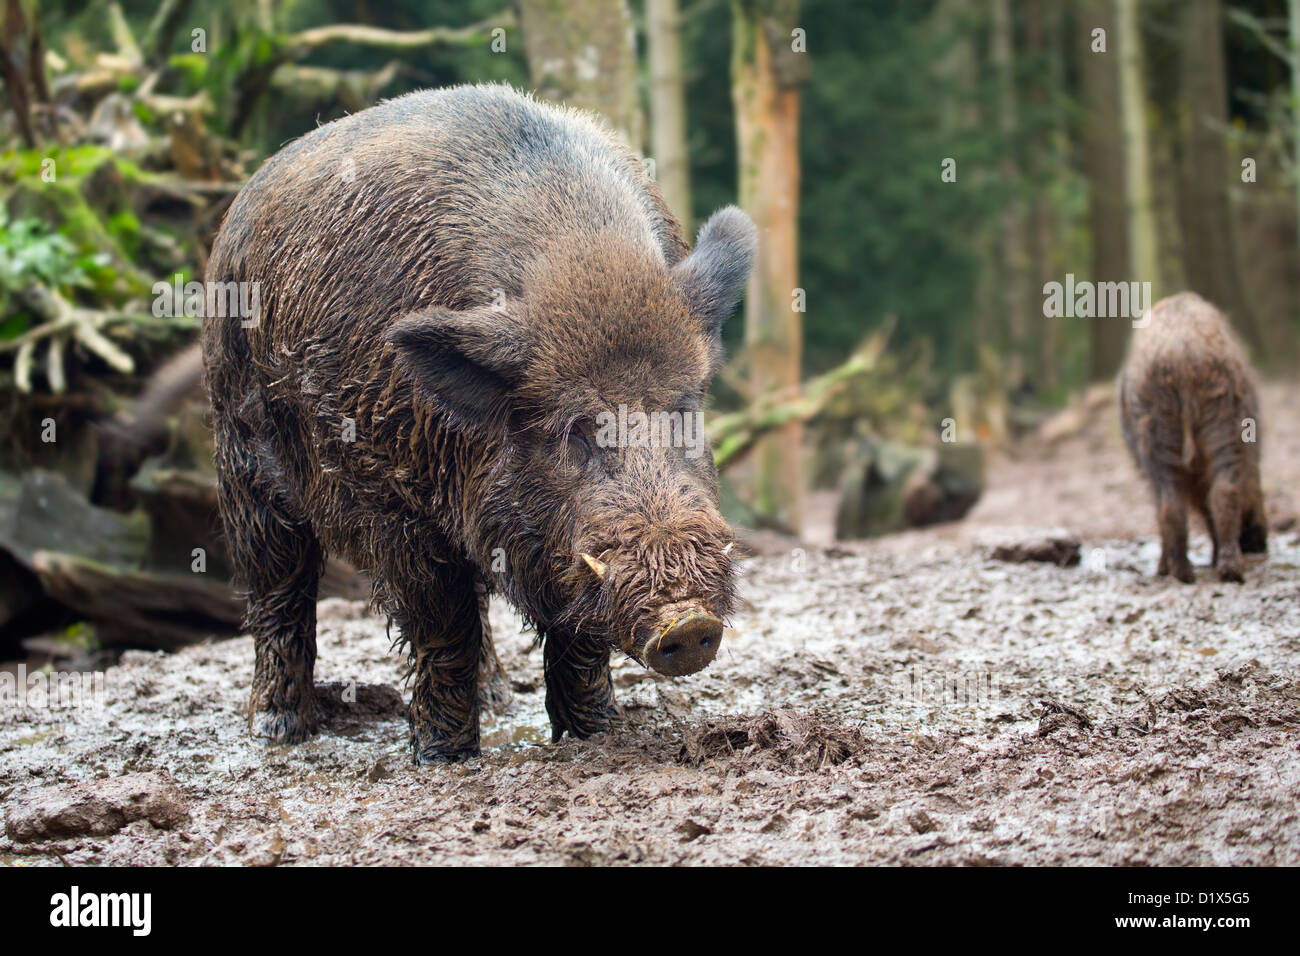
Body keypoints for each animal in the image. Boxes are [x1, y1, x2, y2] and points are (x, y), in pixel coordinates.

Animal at [200, 84, 755, 761]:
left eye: (683, 409)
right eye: (575, 427)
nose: (688, 620)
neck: (581, 263)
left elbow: (576, 640)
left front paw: (597, 735)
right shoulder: (393, 498)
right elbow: (444, 624)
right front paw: (443, 757)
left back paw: (497, 699)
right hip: (237, 444)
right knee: (278, 584)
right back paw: (279, 730)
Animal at [1117, 292, 1267, 583]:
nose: (1260, 545)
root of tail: (1181, 354)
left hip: (1169, 434)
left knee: (1179, 502)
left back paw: (1187, 573)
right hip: (1222, 425)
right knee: (1216, 495)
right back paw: (1219, 571)